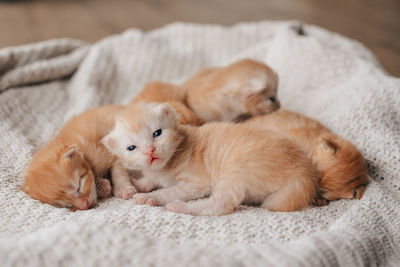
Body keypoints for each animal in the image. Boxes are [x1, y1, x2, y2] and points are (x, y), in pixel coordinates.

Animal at [102, 101, 318, 217]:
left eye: (157, 133)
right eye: (131, 148)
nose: (150, 151)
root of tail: (303, 171)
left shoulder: (195, 183)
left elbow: (171, 190)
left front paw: (151, 197)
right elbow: (150, 179)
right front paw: (134, 186)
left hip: (237, 171)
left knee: (221, 204)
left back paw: (180, 207)